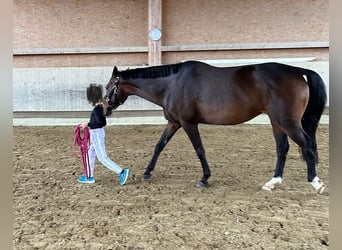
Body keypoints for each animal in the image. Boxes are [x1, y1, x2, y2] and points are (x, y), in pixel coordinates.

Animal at [103, 60, 326, 193]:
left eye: (108, 86)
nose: (105, 107)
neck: (173, 84)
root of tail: (297, 71)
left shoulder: (188, 123)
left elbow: (199, 149)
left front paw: (205, 178)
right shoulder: (174, 123)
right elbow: (159, 146)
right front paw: (147, 172)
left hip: (287, 121)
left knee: (307, 145)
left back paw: (315, 182)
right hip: (277, 122)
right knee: (282, 148)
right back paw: (273, 182)